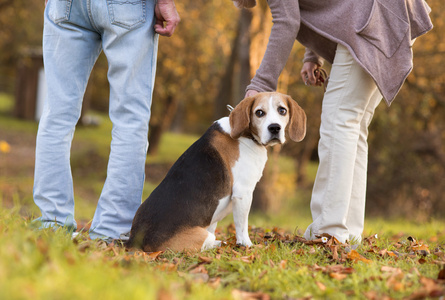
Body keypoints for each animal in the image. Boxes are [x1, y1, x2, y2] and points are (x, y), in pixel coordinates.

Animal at [125, 92, 306, 252]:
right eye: (259, 112)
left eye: (282, 110)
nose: (274, 128)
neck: (245, 135)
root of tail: (135, 241)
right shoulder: (243, 193)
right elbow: (242, 226)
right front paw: (246, 245)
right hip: (201, 235)